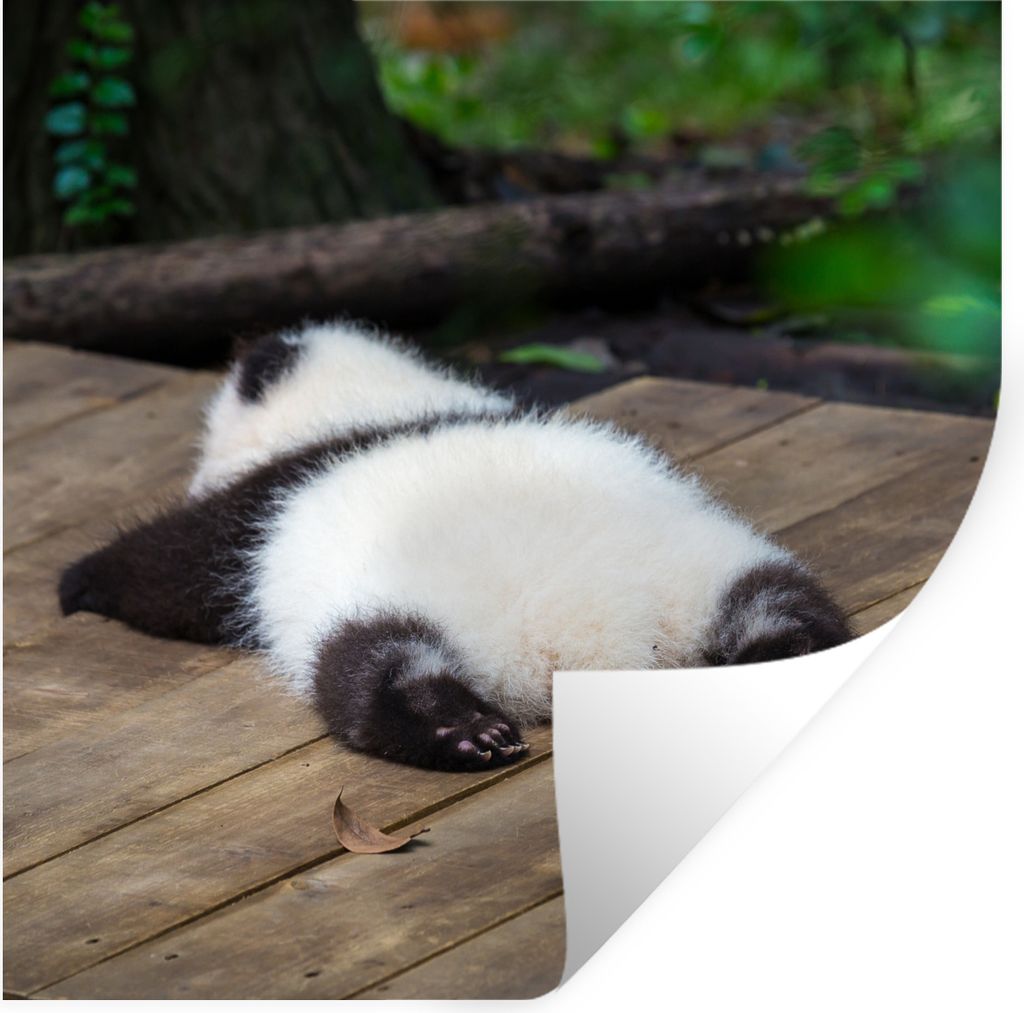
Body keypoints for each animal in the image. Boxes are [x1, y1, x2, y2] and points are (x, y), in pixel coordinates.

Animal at [59, 320, 852, 771]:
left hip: (383, 603)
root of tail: (596, 644)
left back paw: (461, 731)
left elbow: (171, 570)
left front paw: (79, 582)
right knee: (783, 608)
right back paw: (789, 656)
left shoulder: (262, 505)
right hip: (712, 570)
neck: (374, 402)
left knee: (370, 669)